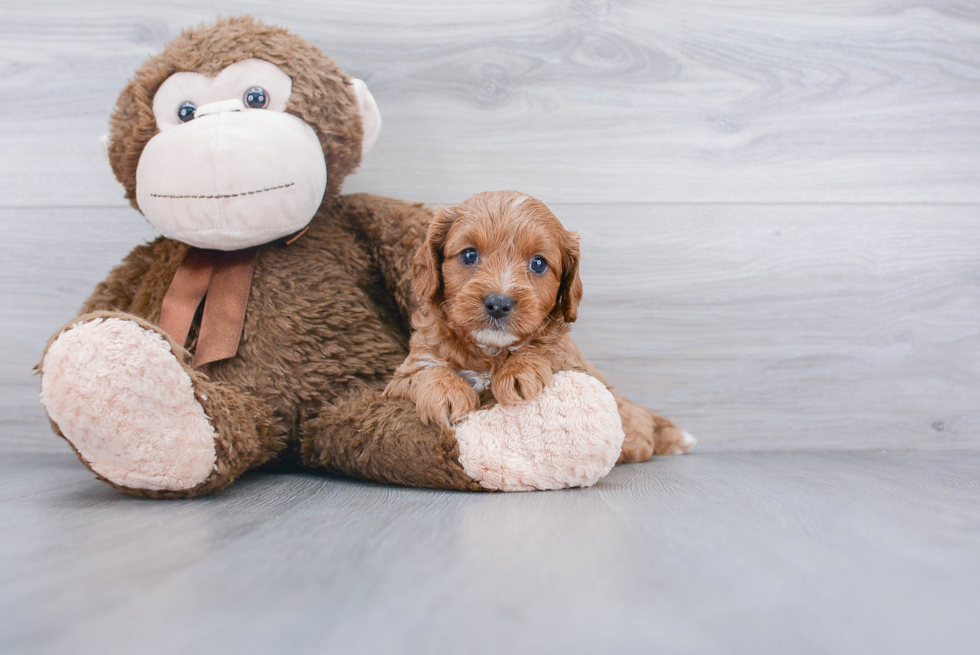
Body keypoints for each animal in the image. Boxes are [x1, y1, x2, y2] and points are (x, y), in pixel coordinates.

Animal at [378, 191, 692, 462]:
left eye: (538, 263)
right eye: (469, 255)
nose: (498, 303)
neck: (490, 351)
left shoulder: (577, 365)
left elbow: (546, 349)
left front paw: (520, 372)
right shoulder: (400, 379)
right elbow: (426, 371)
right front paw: (447, 393)